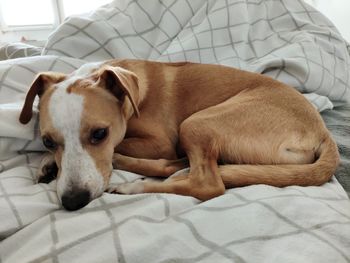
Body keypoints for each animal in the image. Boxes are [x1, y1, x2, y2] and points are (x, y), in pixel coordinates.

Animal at [18, 58, 340, 211]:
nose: (73, 202)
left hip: (196, 123)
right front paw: (48, 163)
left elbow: (123, 146)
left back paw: (134, 184)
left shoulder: (159, 142)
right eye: (47, 141)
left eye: (100, 133)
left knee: (207, 184)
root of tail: (323, 132)